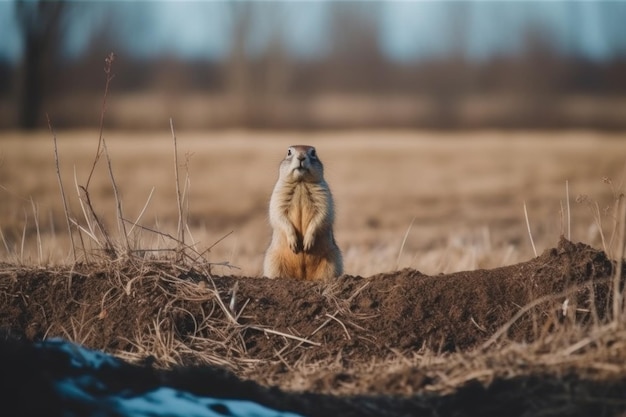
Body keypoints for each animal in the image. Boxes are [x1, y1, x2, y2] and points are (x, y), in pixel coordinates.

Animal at [262, 145, 344, 280]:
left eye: (313, 152)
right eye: (289, 152)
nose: (301, 157)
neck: (301, 182)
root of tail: (303, 276)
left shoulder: (324, 194)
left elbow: (323, 214)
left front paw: (307, 243)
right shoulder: (278, 193)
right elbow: (278, 214)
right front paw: (294, 243)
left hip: (333, 260)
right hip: (273, 261)